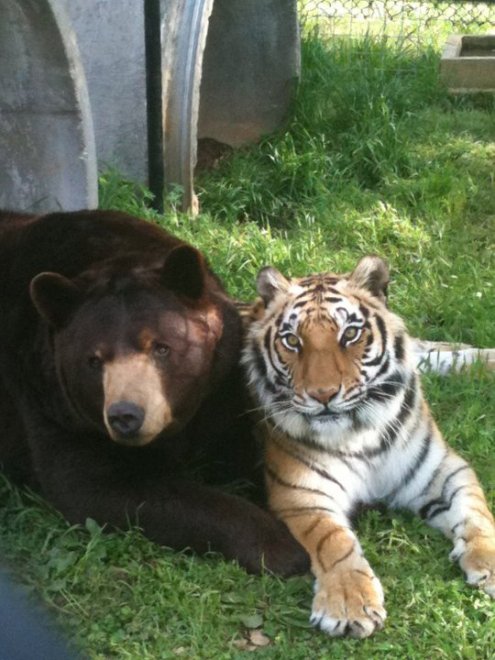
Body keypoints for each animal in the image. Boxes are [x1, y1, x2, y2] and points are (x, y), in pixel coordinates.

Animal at [0, 208, 308, 576]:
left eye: (160, 347)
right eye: (93, 360)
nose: (126, 416)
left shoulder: (218, 384)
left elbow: (247, 448)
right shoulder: (52, 404)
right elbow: (99, 485)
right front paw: (281, 547)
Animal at [241, 255, 495, 639]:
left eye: (350, 334)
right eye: (292, 340)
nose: (323, 395)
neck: (359, 433)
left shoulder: (444, 470)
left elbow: (477, 513)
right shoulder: (302, 493)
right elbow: (333, 540)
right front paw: (348, 603)